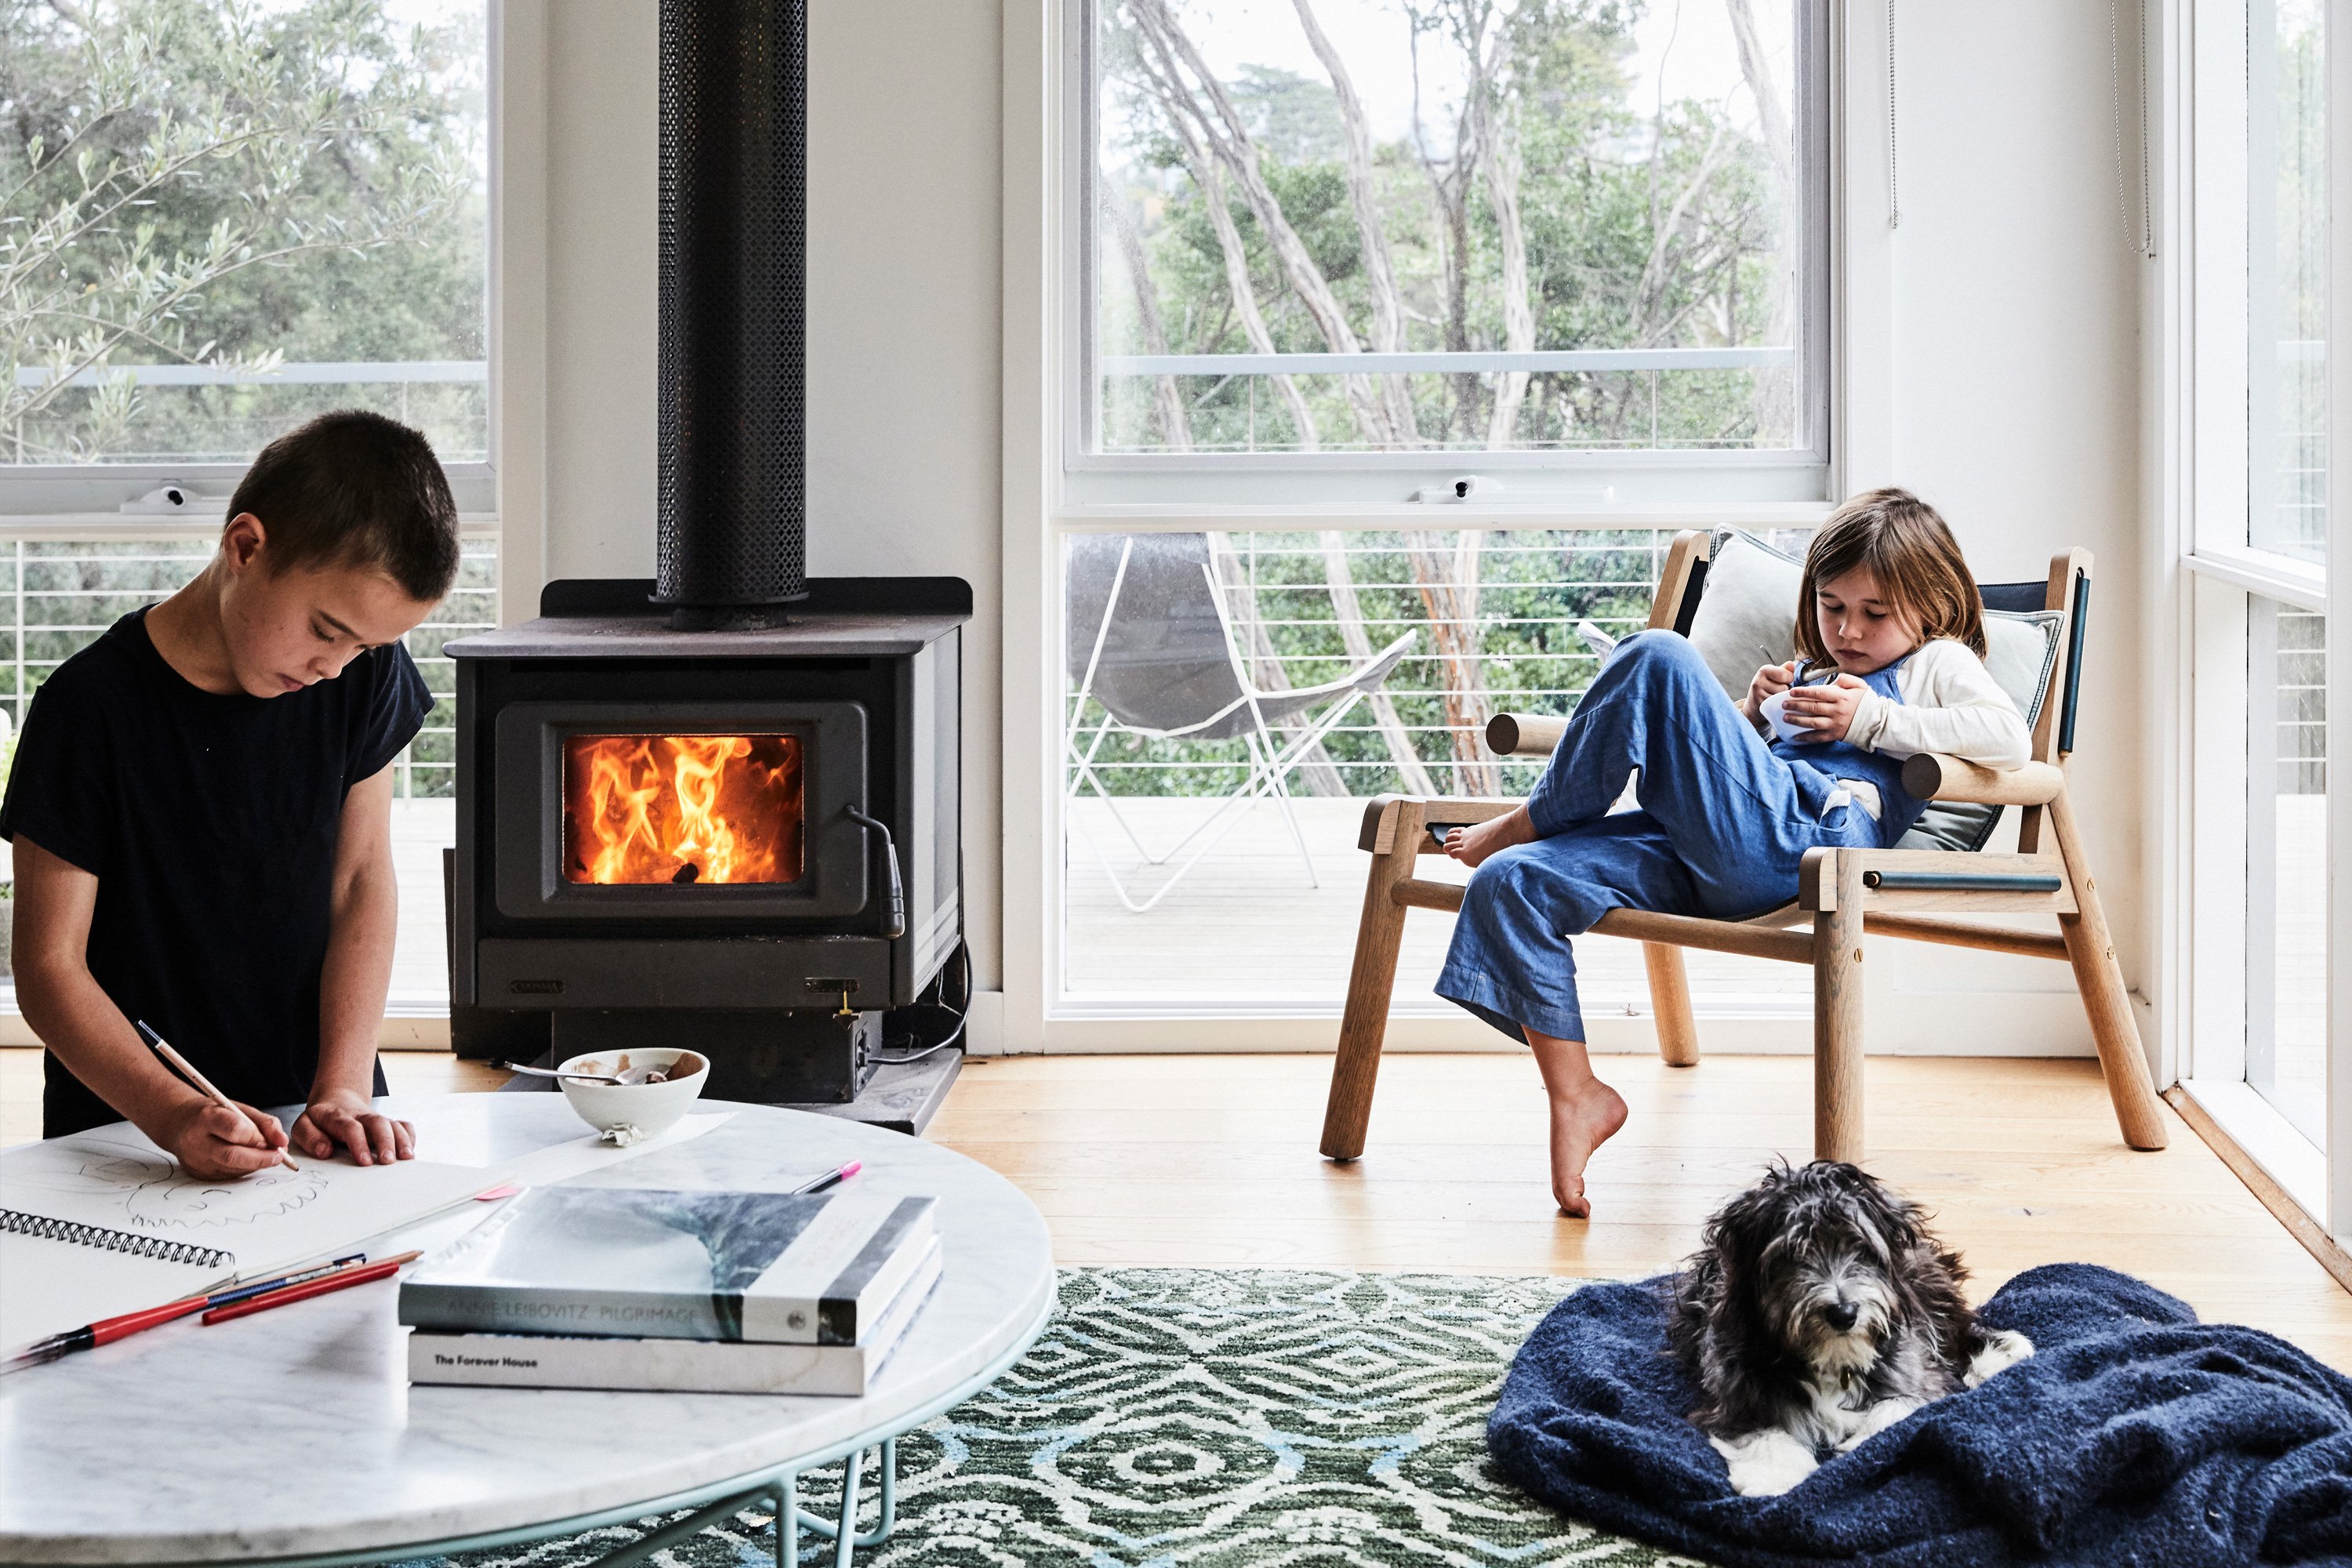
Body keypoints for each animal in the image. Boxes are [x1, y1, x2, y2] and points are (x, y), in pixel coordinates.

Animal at [1665, 1166, 2032, 1495]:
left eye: (1862, 1248)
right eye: (1792, 1254)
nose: (1844, 1313)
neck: (1832, 1358)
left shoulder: (1914, 1372)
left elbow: (1899, 1405)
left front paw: (1865, 1444)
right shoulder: (1735, 1391)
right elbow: (1763, 1432)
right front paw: (1774, 1477)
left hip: (1929, 1291)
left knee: (1957, 1330)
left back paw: (2000, 1356)